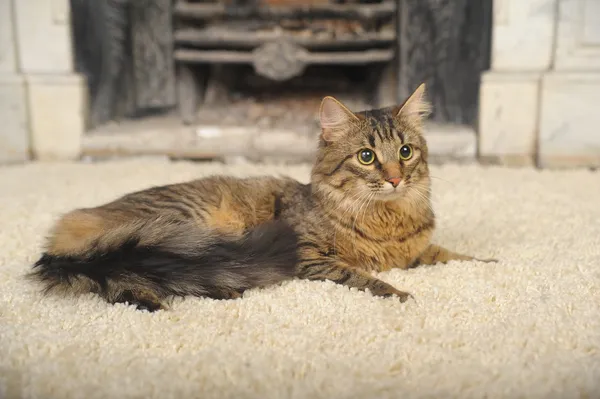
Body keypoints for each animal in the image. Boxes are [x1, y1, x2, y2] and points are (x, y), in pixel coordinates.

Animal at [29, 84, 492, 312]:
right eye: (366, 157)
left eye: (405, 152)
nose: (396, 179)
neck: (388, 218)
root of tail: (77, 224)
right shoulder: (312, 259)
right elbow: (364, 278)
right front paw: (400, 294)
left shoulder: (415, 251)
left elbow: (450, 255)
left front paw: (488, 263)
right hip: (179, 233)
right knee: (129, 278)